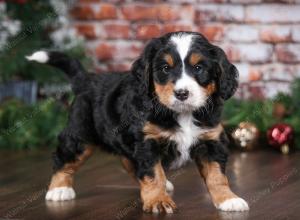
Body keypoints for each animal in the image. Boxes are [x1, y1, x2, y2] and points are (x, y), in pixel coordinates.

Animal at [27, 31, 248, 213]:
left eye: (199, 68)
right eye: (165, 68)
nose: (182, 93)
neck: (182, 114)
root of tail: (87, 80)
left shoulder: (210, 139)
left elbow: (217, 175)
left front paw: (228, 199)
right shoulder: (147, 141)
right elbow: (153, 173)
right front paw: (158, 201)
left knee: (128, 161)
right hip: (80, 135)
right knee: (64, 158)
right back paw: (59, 189)